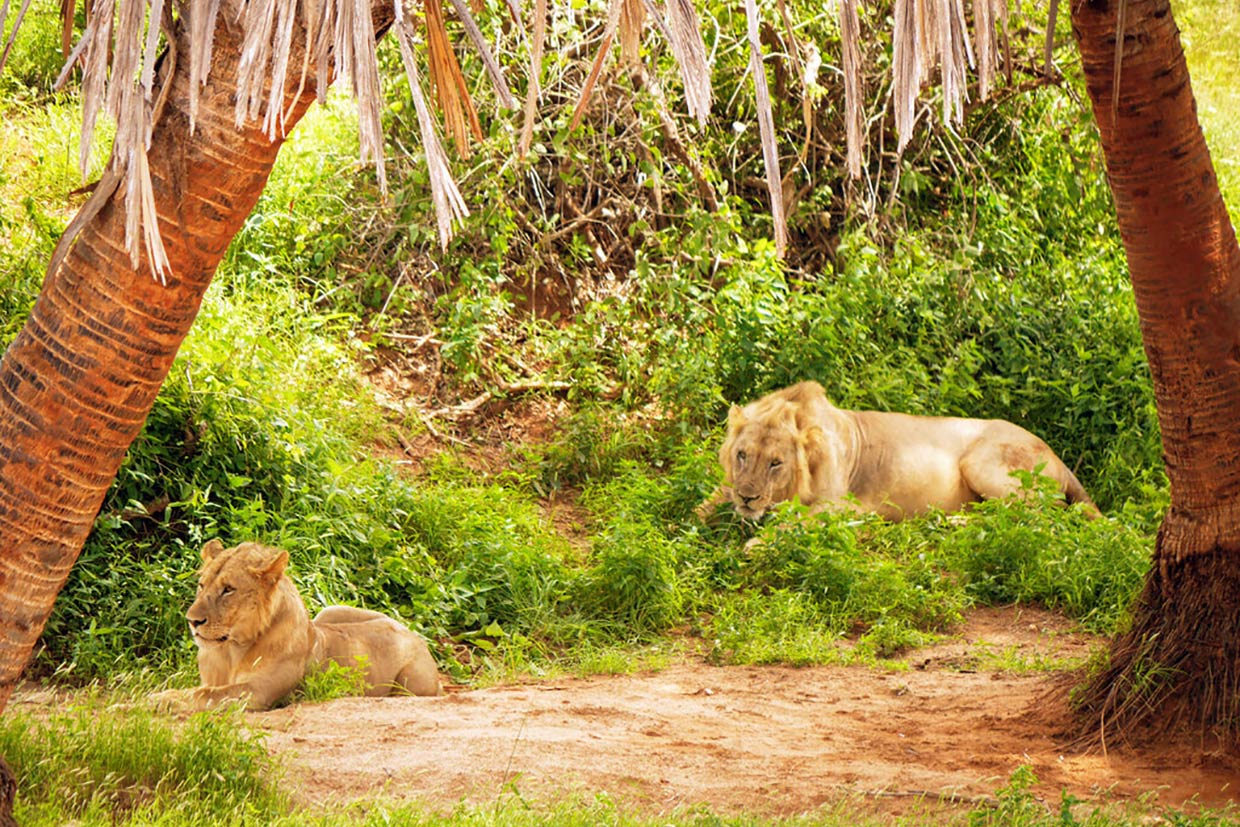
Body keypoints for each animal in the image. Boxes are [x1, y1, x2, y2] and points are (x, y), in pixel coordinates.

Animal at [153, 539, 442, 711]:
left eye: (228, 589)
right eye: (202, 585)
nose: (192, 620)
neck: (231, 651)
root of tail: (414, 634)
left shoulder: (258, 693)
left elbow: (205, 694)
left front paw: (158, 698)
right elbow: (203, 689)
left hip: (409, 685)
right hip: (329, 611)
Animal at [697, 381, 1100, 523]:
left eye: (776, 464)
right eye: (742, 455)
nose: (748, 498)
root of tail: (1058, 456)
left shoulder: (848, 507)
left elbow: (793, 522)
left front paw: (755, 544)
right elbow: (699, 508)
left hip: (980, 463)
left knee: (1043, 516)